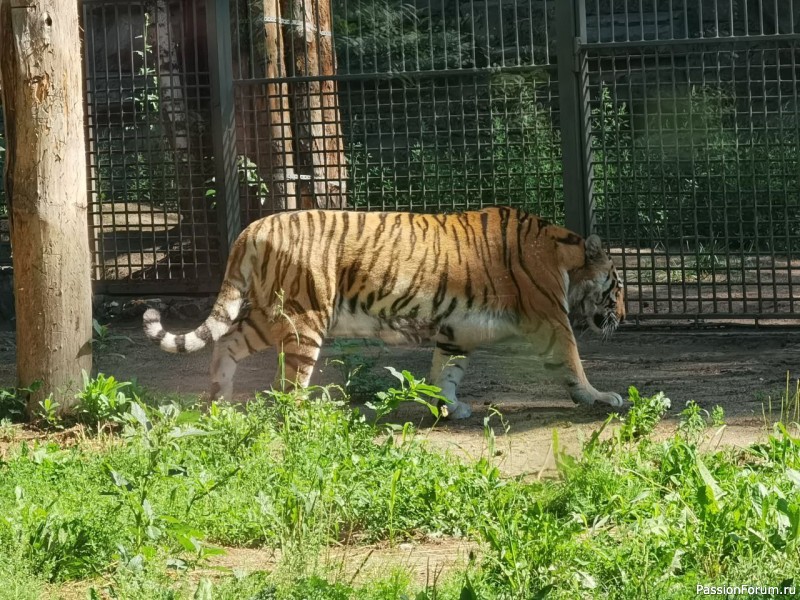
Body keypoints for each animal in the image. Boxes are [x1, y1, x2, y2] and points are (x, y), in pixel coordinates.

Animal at [143, 206, 625, 419]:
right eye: (617, 286)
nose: (622, 314)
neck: (565, 256)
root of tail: (252, 227)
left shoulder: (456, 333)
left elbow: (446, 372)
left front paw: (450, 408)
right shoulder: (552, 321)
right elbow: (574, 363)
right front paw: (600, 397)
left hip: (268, 314)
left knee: (225, 342)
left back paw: (218, 402)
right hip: (304, 318)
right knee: (287, 384)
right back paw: (305, 416)